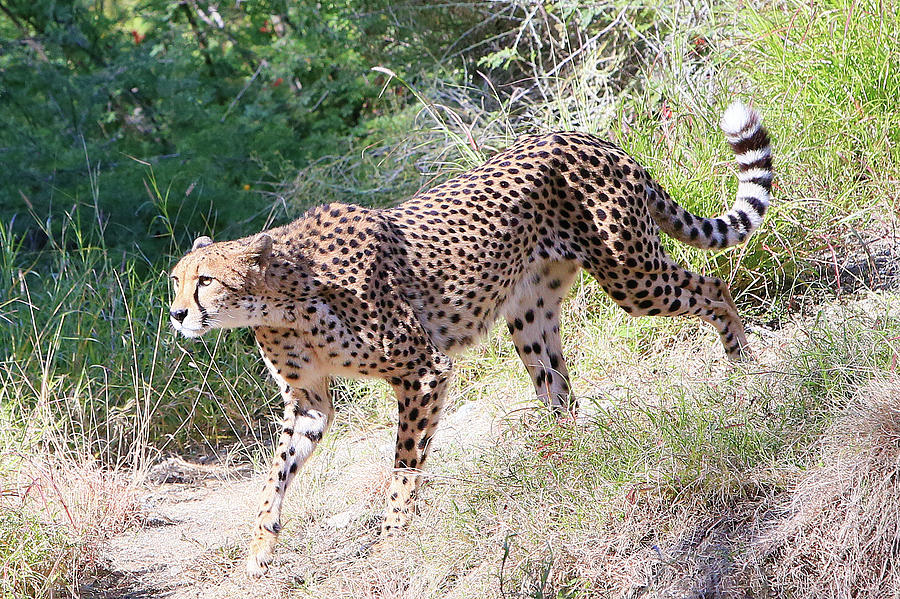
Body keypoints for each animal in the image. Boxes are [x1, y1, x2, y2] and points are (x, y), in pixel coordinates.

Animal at [169, 103, 772, 576]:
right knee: (559, 390)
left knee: (714, 287)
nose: (176, 314)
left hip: (632, 275)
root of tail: (588, 137)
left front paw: (393, 538)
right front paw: (259, 549)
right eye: (175, 280)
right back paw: (566, 463)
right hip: (530, 315)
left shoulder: (423, 372)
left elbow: (403, 466)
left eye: (206, 281)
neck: (282, 300)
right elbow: (275, 476)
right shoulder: (309, 401)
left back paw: (744, 369)